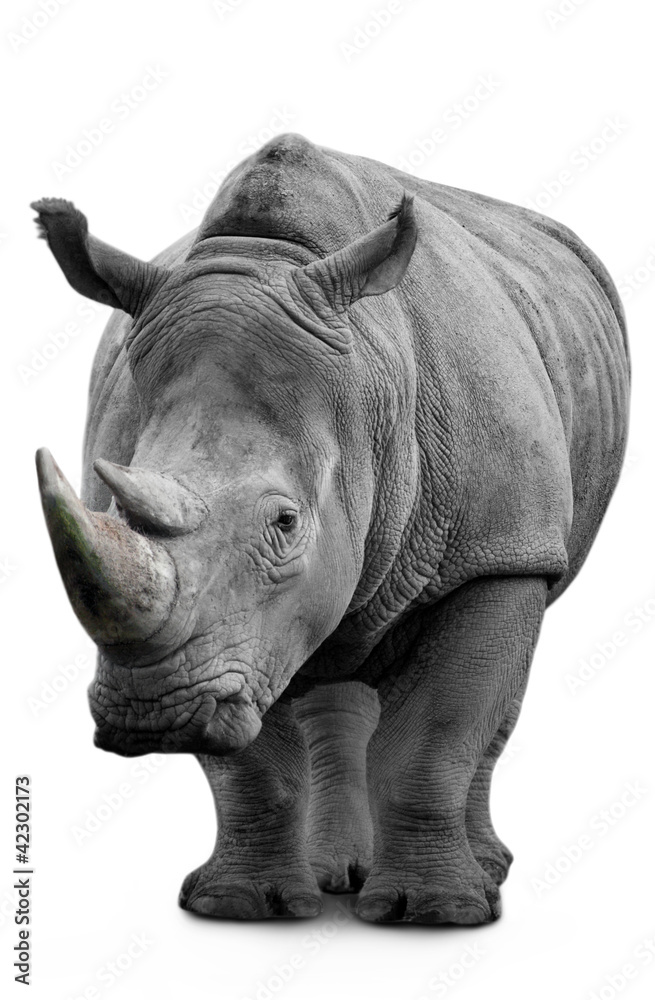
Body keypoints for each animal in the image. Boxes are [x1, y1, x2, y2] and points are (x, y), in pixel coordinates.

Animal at [33, 132, 629, 924]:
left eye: (286, 524)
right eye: (105, 506)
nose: (148, 712)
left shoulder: (499, 548)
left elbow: (438, 733)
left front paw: (434, 914)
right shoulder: (225, 639)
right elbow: (249, 761)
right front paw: (239, 905)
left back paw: (485, 876)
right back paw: (333, 874)